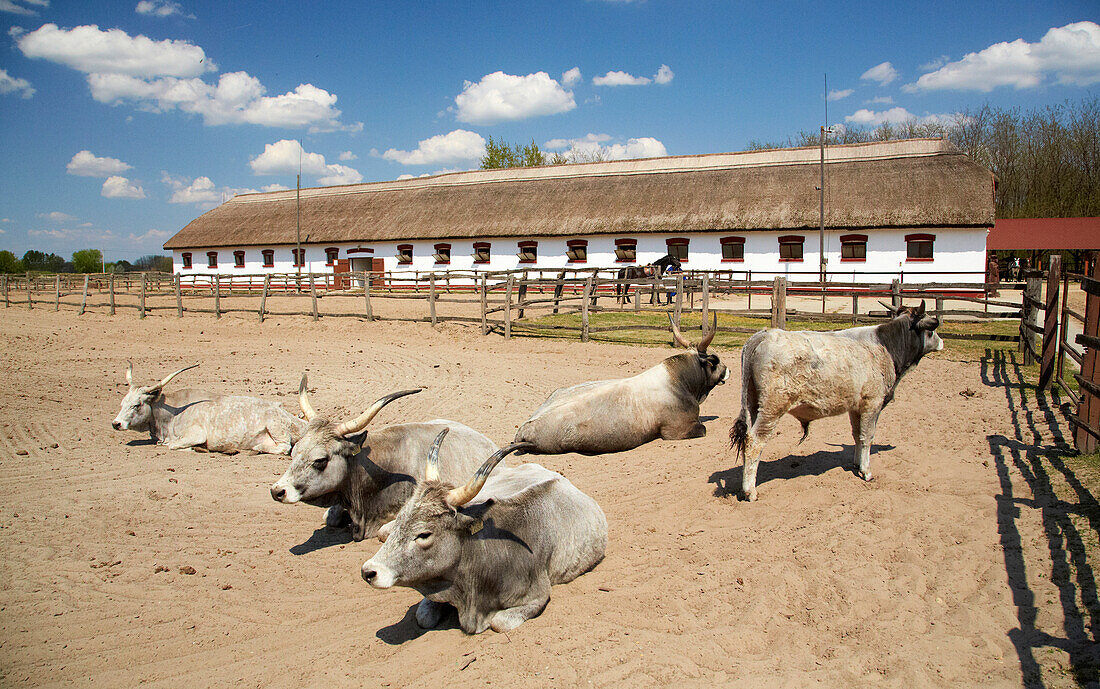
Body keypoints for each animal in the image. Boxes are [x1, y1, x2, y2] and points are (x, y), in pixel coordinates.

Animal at [110, 363, 305, 453]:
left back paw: (257, 447)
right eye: (122, 403)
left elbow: (173, 445)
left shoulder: (196, 434)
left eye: (136, 405)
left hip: (275, 427)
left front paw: (197, 448)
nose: (116, 424)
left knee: (284, 446)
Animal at [360, 429, 607, 633]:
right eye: (399, 520)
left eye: (424, 534)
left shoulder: (537, 596)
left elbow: (499, 622)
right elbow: (424, 616)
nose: (369, 572)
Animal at [514, 312, 730, 453]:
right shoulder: (677, 430)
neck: (677, 382)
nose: (728, 370)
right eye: (714, 360)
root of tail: (526, 429)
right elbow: (702, 429)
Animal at [730, 299, 946, 499]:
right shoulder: (873, 404)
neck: (885, 346)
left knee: (747, 439)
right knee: (754, 442)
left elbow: (858, 435)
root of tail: (764, 335)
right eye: (932, 328)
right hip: (772, 409)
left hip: (752, 404)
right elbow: (868, 436)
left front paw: (857, 463)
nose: (941, 342)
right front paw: (866, 471)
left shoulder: (856, 407)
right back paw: (750, 491)